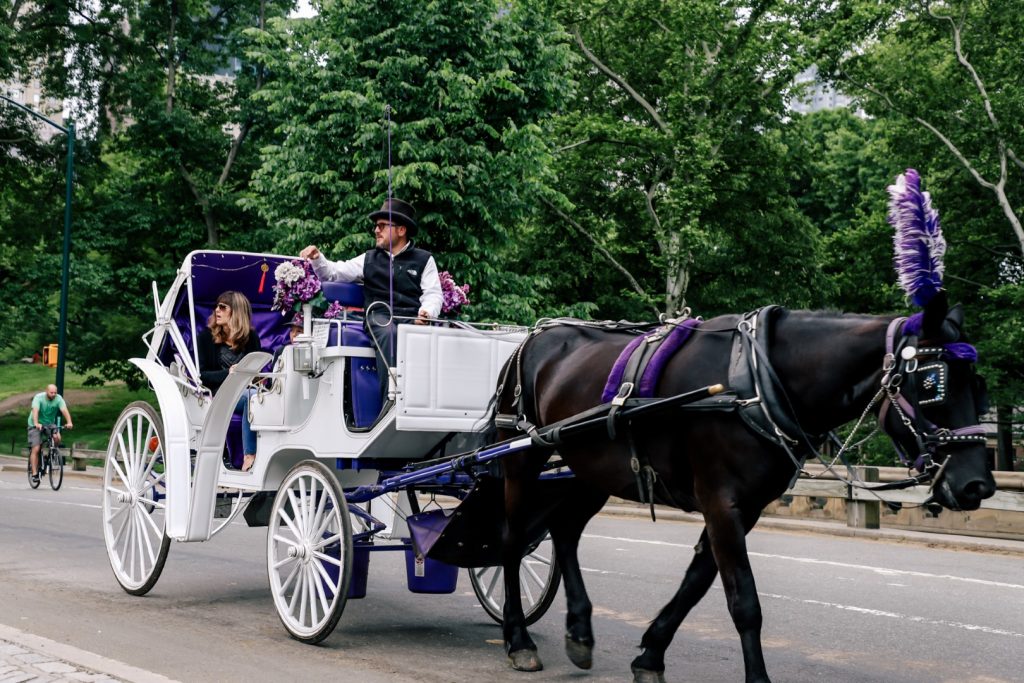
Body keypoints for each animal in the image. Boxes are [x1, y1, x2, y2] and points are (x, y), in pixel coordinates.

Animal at [491, 290, 995, 679]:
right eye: (932, 383)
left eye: (980, 385)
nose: (977, 486)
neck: (757, 380)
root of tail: (533, 338)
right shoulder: (722, 502)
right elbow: (744, 601)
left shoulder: (743, 507)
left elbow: (696, 583)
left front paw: (651, 654)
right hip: (521, 459)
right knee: (512, 543)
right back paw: (518, 638)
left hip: (590, 469)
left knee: (565, 532)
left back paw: (579, 630)